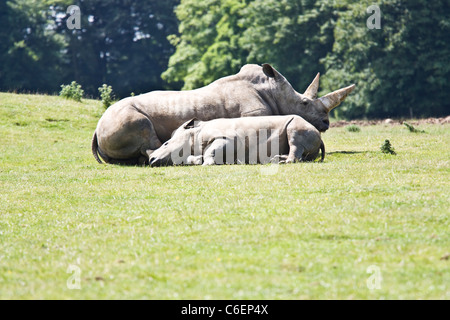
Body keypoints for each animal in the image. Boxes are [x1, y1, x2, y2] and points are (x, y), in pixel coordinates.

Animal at [149, 115, 326, 166]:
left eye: (165, 144)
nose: (150, 160)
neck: (195, 133)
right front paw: (198, 160)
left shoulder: (229, 138)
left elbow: (211, 150)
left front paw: (207, 163)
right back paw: (276, 159)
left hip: (300, 124)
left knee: (294, 139)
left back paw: (283, 162)